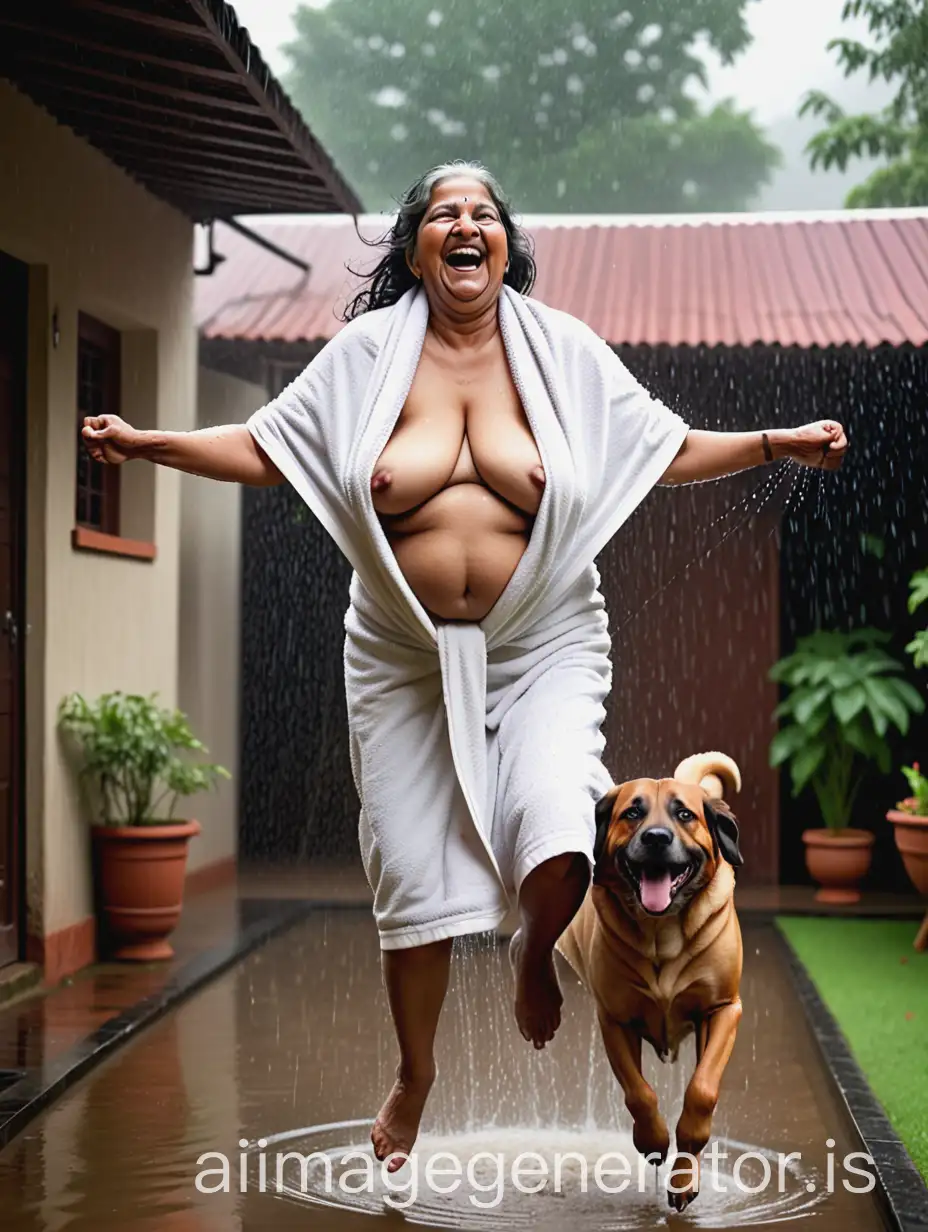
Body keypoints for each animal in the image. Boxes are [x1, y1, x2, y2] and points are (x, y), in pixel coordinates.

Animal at [554, 749, 744, 1212]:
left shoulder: (723, 1009)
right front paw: (655, 1141)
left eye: (684, 814)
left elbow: (702, 1089)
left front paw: (684, 1173)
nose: (657, 837)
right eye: (633, 813)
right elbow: (640, 1094)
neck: (663, 933)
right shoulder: (615, 1019)